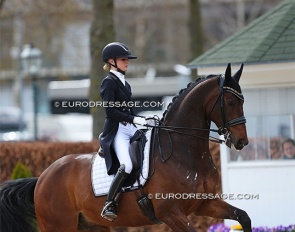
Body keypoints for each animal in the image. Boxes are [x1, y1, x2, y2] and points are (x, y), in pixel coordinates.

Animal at [0, 64, 252, 232]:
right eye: (230, 102)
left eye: (243, 101)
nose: (242, 142)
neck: (184, 153)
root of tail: (42, 177)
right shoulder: (171, 213)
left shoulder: (204, 204)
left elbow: (244, 217)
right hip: (58, 225)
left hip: (92, 226)